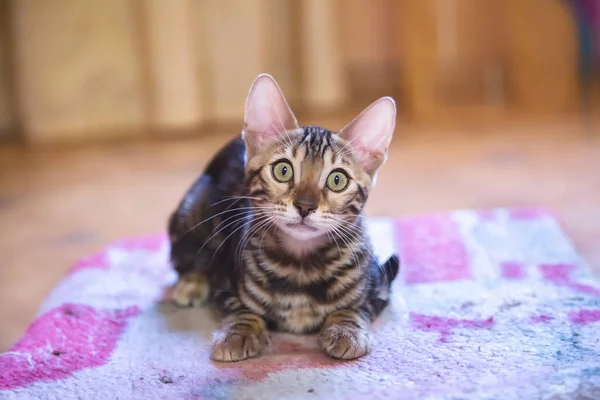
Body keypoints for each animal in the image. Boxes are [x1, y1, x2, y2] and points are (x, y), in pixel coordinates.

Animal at [168, 72, 398, 362]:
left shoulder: (379, 287)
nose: (305, 206)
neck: (300, 265)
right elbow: (240, 308)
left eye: (337, 180)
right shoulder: (224, 280)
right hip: (193, 212)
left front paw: (346, 331)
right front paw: (239, 332)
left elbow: (356, 308)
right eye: (283, 170)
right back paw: (191, 284)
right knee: (188, 257)